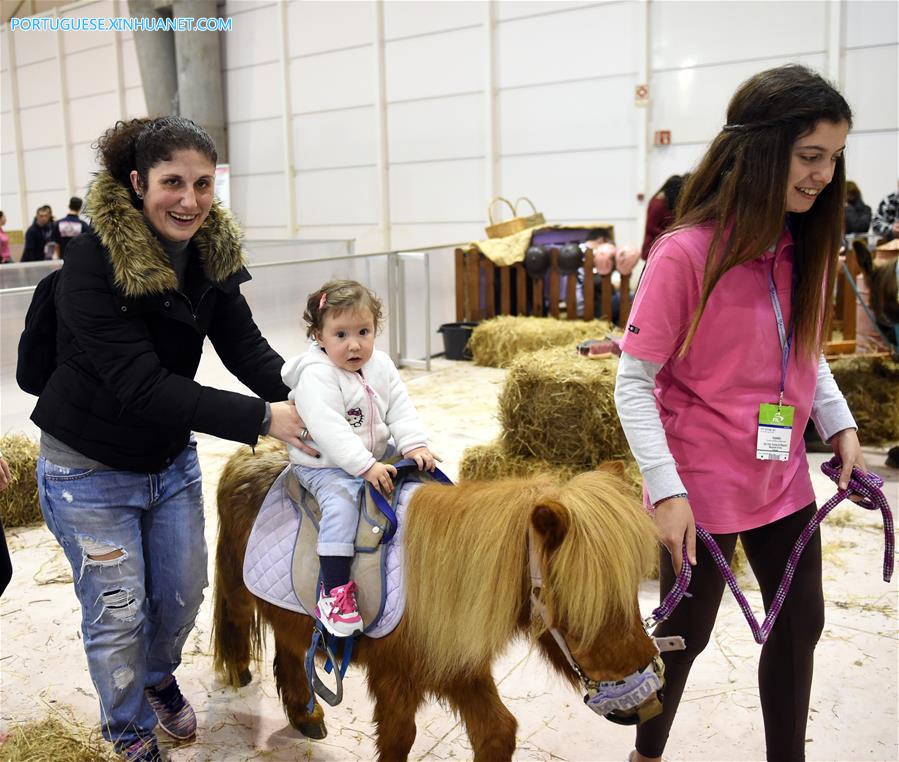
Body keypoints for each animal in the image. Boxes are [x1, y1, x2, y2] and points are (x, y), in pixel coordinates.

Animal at [212, 442, 660, 756]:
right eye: (581, 601)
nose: (647, 702)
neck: (443, 578)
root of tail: (248, 455)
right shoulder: (395, 679)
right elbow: (398, 739)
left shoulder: (459, 668)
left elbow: (497, 732)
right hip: (239, 589)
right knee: (237, 621)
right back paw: (241, 673)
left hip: (294, 620)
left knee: (289, 651)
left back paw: (307, 716)